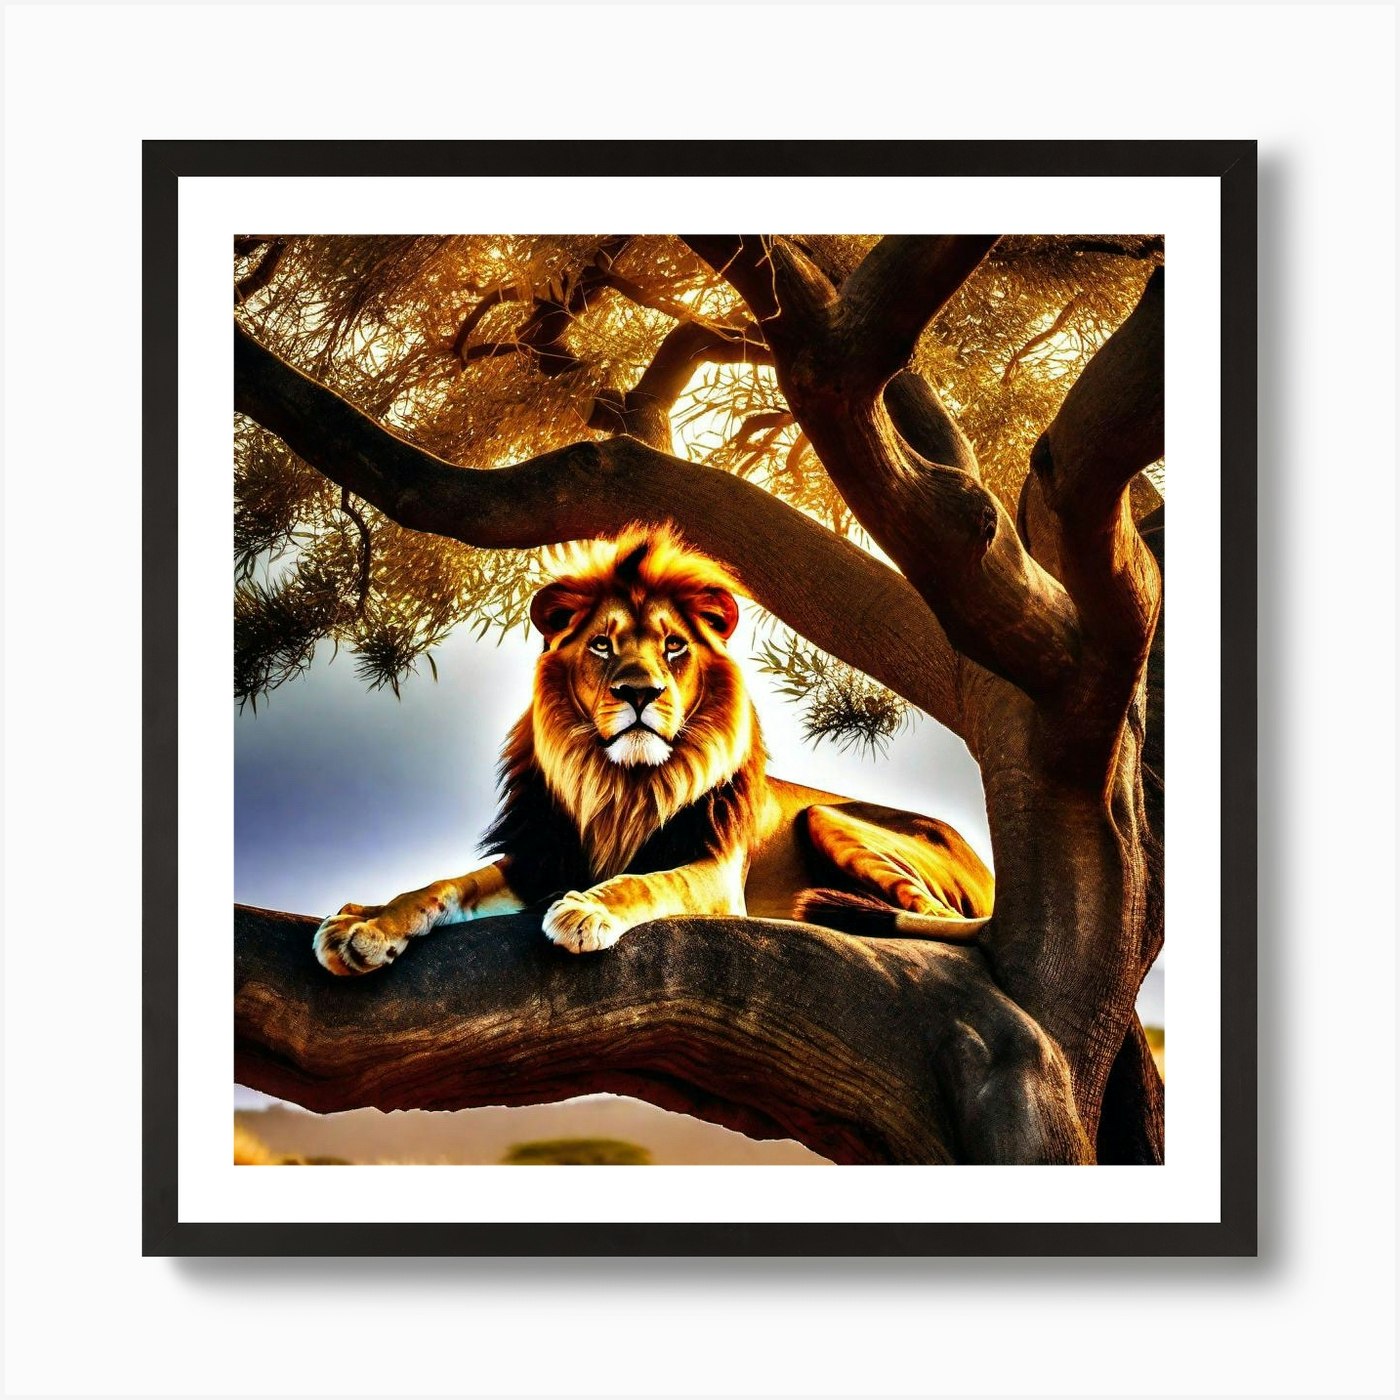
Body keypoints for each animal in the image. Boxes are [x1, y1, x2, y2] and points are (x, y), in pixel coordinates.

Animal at [313, 523, 993, 973]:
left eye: (673, 646)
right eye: (602, 645)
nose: (640, 692)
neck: (619, 783)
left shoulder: (714, 874)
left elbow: (647, 883)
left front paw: (587, 911)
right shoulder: (540, 860)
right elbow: (445, 883)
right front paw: (367, 921)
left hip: (829, 816)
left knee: (940, 921)